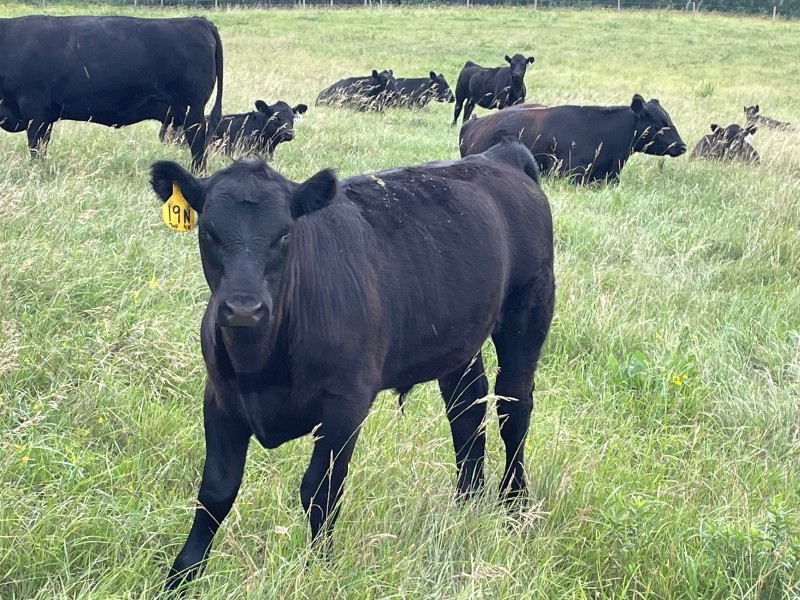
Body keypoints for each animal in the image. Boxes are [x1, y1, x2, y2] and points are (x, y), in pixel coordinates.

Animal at [149, 139, 554, 594]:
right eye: (209, 231)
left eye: (285, 233)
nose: (243, 309)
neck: (261, 365)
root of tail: (498, 155)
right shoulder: (220, 398)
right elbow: (216, 491)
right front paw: (180, 577)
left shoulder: (346, 402)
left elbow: (320, 491)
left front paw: (319, 570)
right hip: (461, 339)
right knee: (466, 410)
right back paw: (465, 504)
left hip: (528, 310)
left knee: (514, 409)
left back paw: (515, 507)